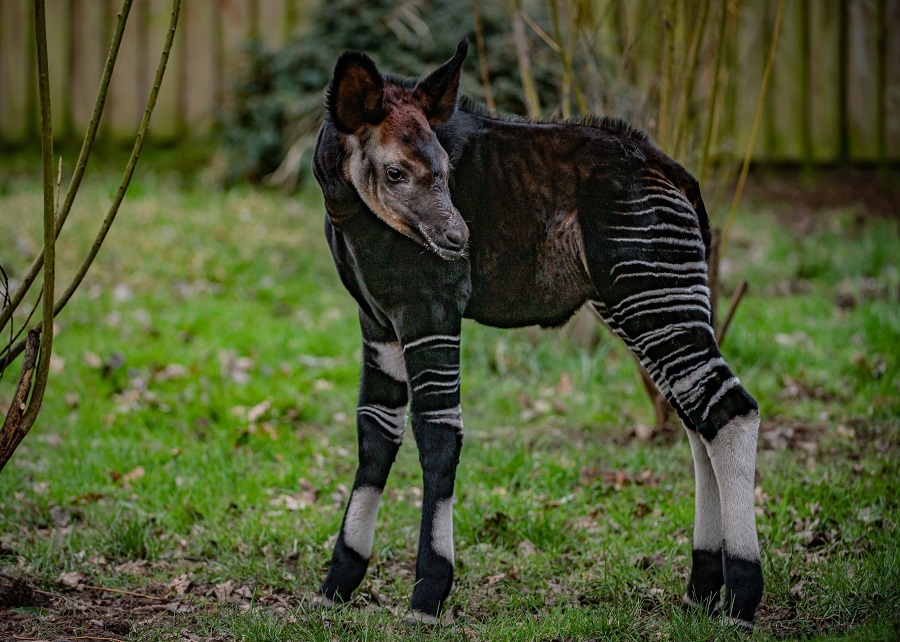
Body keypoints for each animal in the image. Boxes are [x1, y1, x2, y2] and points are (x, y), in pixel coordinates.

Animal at [312, 38, 764, 624]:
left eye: (445, 168)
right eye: (395, 173)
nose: (458, 240)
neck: (350, 215)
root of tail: (673, 171)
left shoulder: (430, 310)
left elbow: (437, 435)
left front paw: (428, 592)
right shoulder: (377, 321)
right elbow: (374, 434)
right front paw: (338, 582)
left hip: (653, 292)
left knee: (729, 411)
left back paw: (741, 599)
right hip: (635, 300)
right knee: (696, 419)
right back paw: (702, 591)